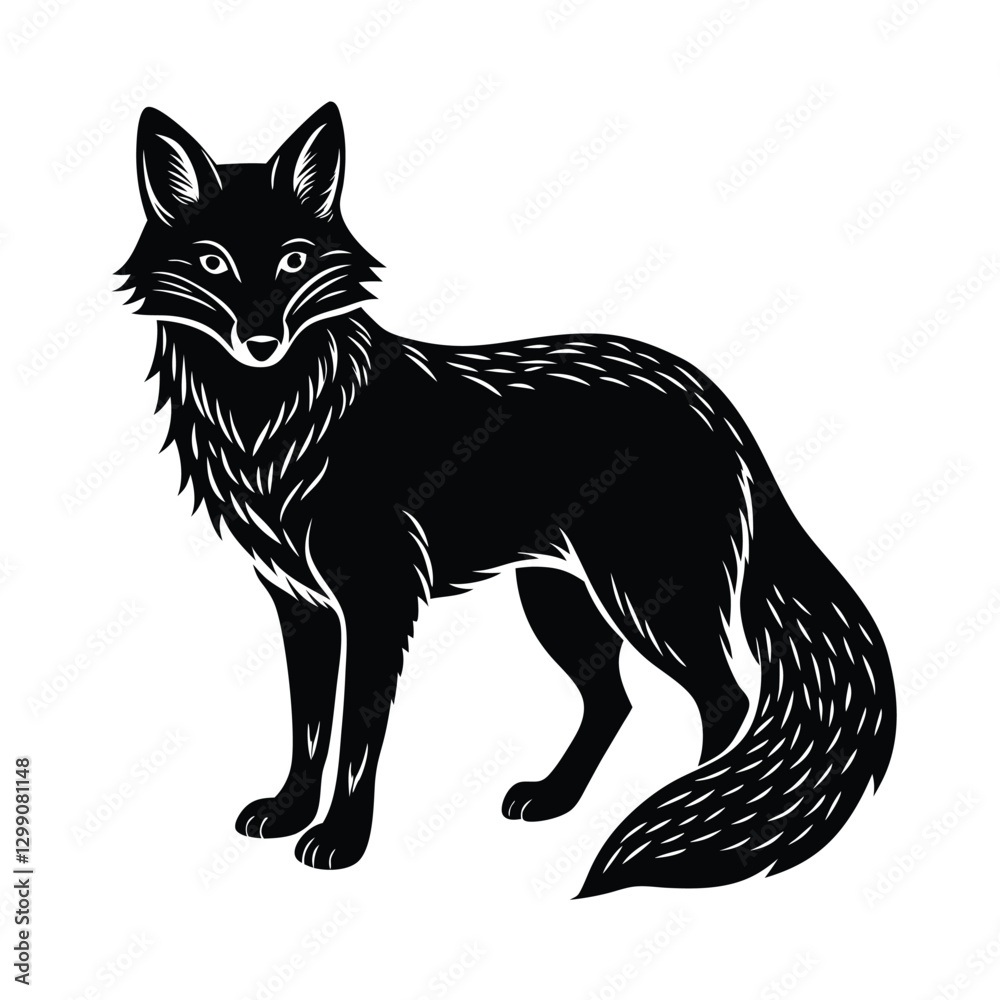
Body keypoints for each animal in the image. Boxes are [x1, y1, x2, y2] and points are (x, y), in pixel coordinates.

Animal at [118, 103, 896, 896]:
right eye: (213, 263)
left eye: (295, 261)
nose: (261, 341)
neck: (274, 421)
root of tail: (711, 397)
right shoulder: (298, 604)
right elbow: (308, 727)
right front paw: (287, 812)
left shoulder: (376, 602)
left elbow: (357, 736)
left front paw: (340, 839)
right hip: (559, 602)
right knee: (615, 701)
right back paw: (558, 798)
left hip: (647, 601)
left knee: (727, 700)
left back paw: (690, 813)